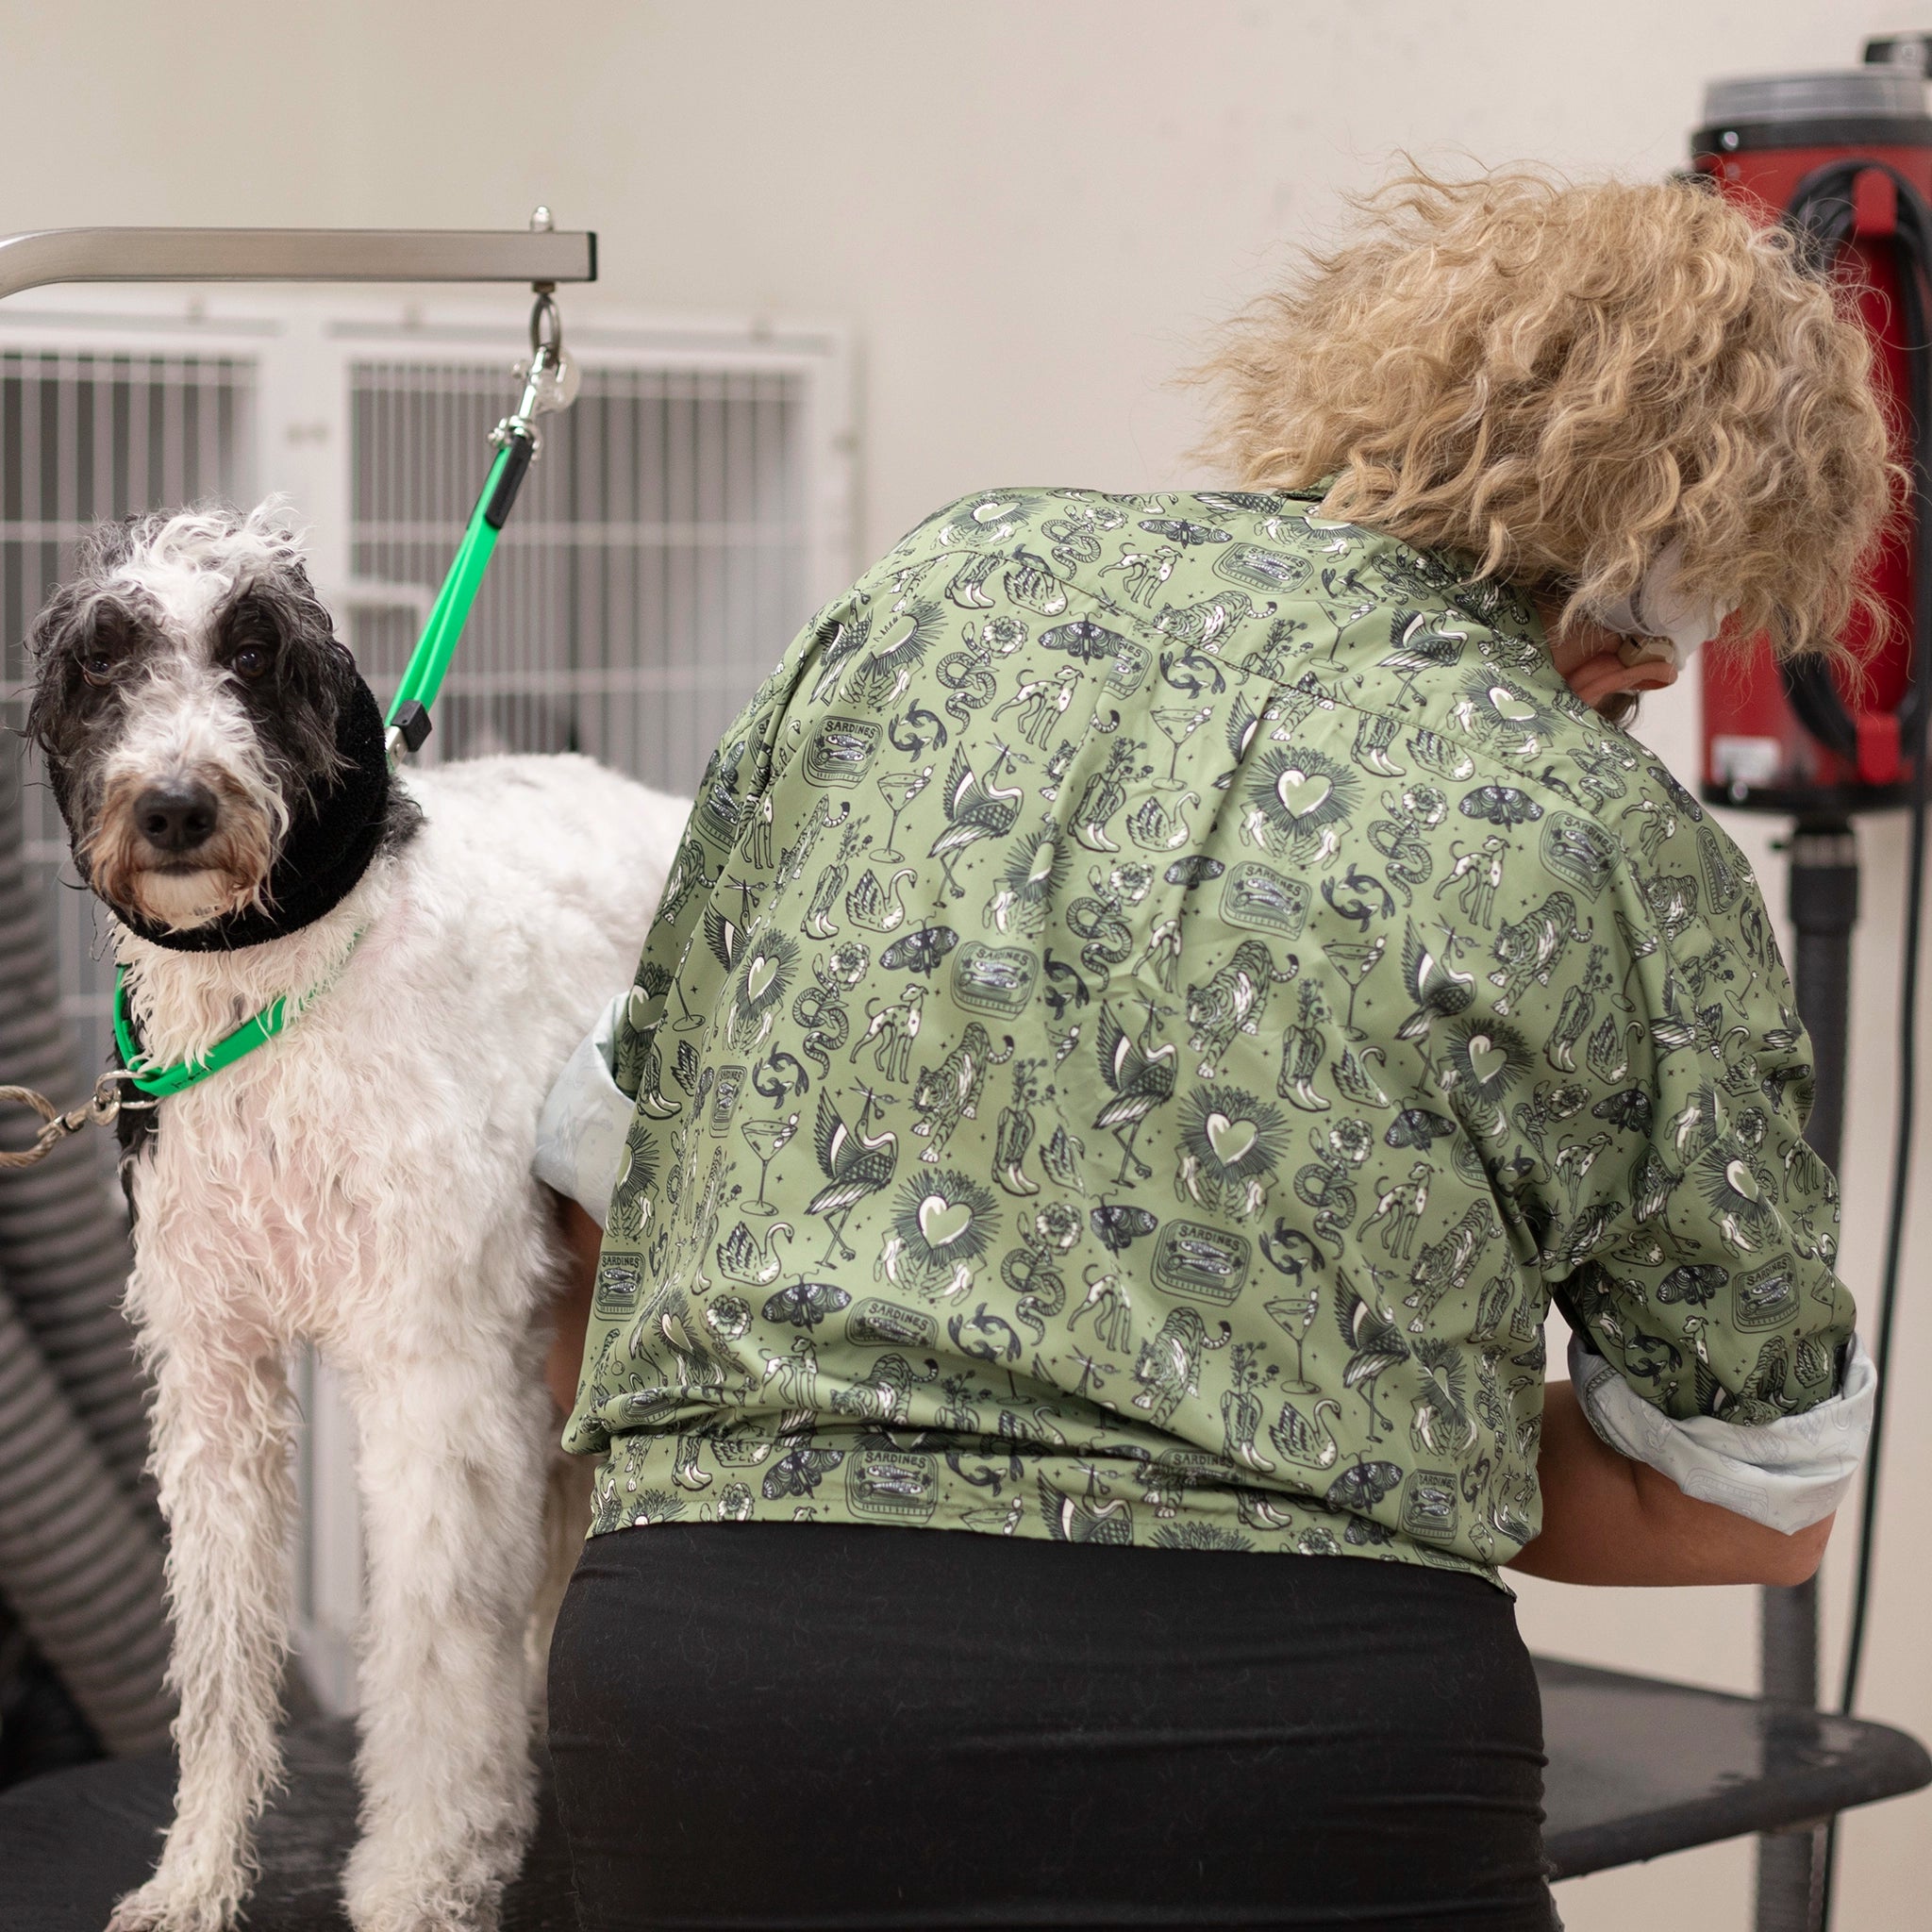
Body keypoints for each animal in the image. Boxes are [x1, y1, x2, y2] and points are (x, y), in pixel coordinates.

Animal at [24, 502, 687, 1932]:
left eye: (255, 649)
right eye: (103, 659)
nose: (174, 805)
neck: (277, 996)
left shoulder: (434, 1370)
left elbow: (433, 1652)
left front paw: (422, 1872)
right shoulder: (213, 1376)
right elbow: (221, 1655)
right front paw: (195, 1875)